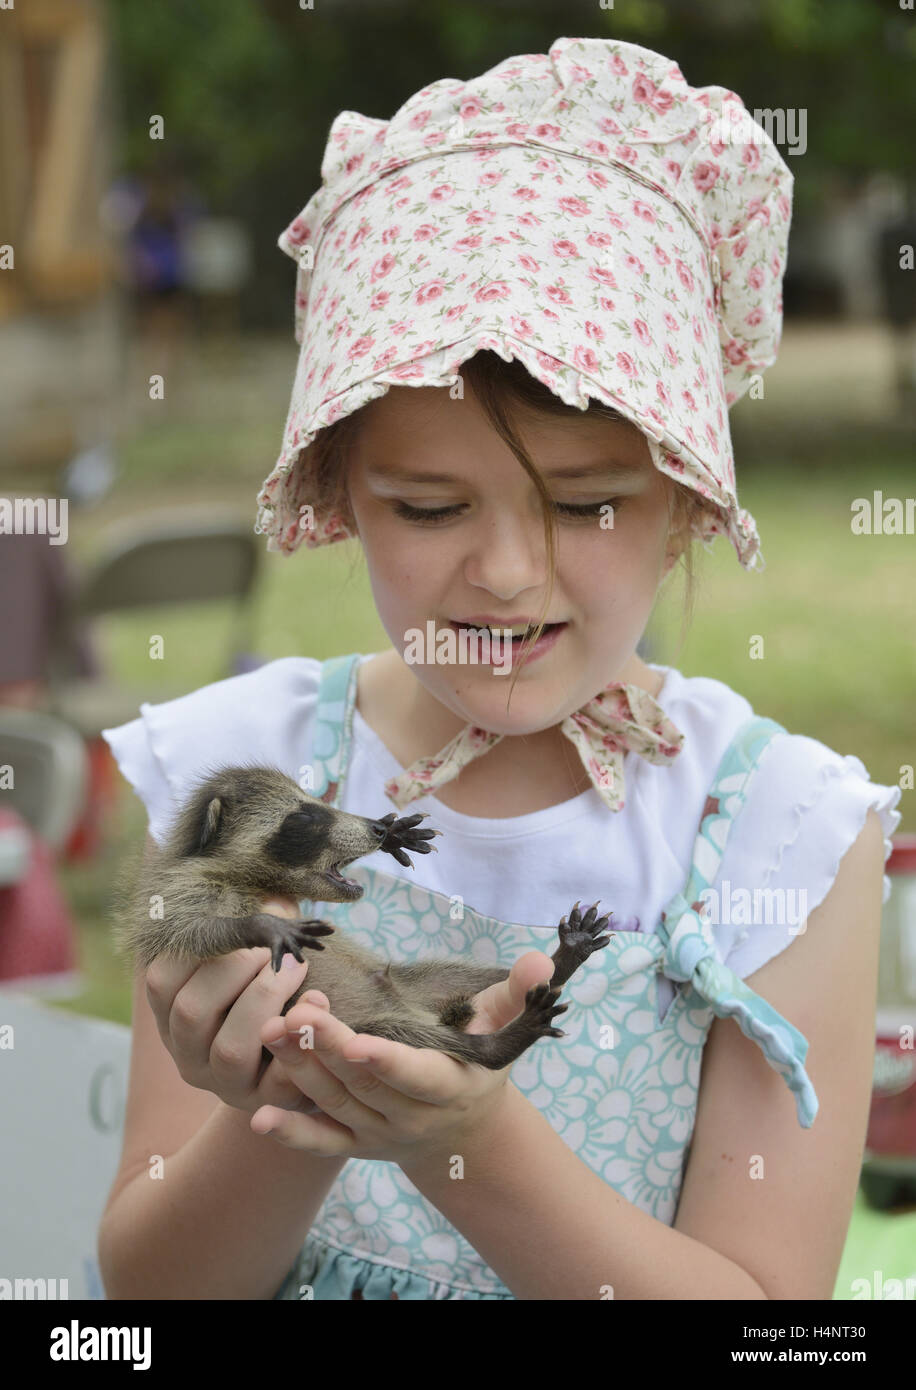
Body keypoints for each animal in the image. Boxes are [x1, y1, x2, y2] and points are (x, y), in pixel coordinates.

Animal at [116, 767, 617, 1067]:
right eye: (305, 818)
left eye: (319, 802)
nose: (374, 829)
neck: (256, 880)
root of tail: (408, 1005)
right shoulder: (175, 891)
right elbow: (195, 929)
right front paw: (260, 926)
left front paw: (392, 832)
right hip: (370, 1027)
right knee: (416, 1037)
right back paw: (494, 1046)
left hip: (414, 982)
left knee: (467, 975)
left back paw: (559, 962)